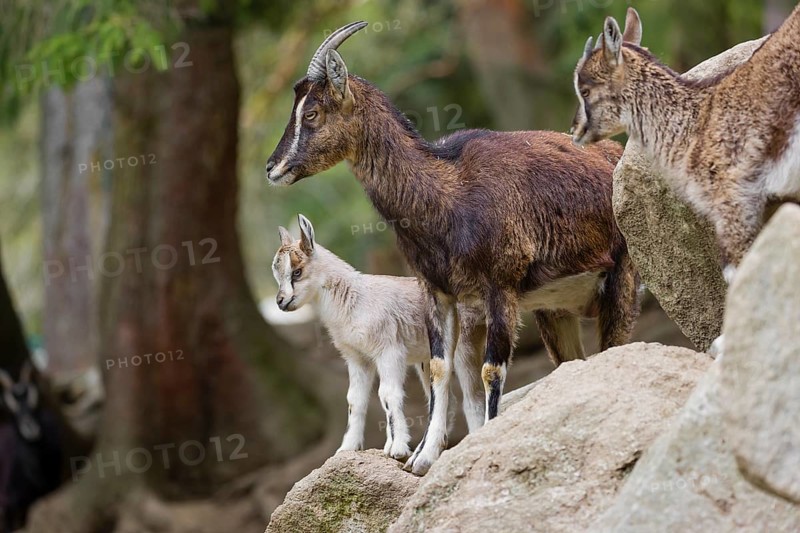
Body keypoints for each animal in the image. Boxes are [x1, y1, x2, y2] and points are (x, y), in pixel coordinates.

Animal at [272, 214, 487, 459]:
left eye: (297, 271)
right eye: (276, 273)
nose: (280, 302)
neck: (354, 300)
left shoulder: (389, 351)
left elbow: (387, 394)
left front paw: (398, 449)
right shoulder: (358, 357)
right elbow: (354, 400)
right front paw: (347, 448)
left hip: (464, 346)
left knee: (473, 399)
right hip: (426, 361)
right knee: (445, 399)